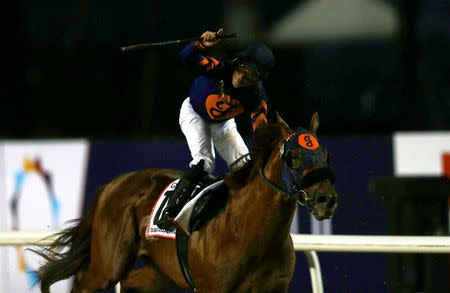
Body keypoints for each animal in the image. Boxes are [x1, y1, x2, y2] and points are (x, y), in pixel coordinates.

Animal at [32, 112, 338, 292]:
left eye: (325, 153)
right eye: (294, 156)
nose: (327, 199)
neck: (250, 232)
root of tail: (113, 183)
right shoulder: (212, 289)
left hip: (160, 272)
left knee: (132, 283)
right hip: (109, 264)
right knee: (87, 284)